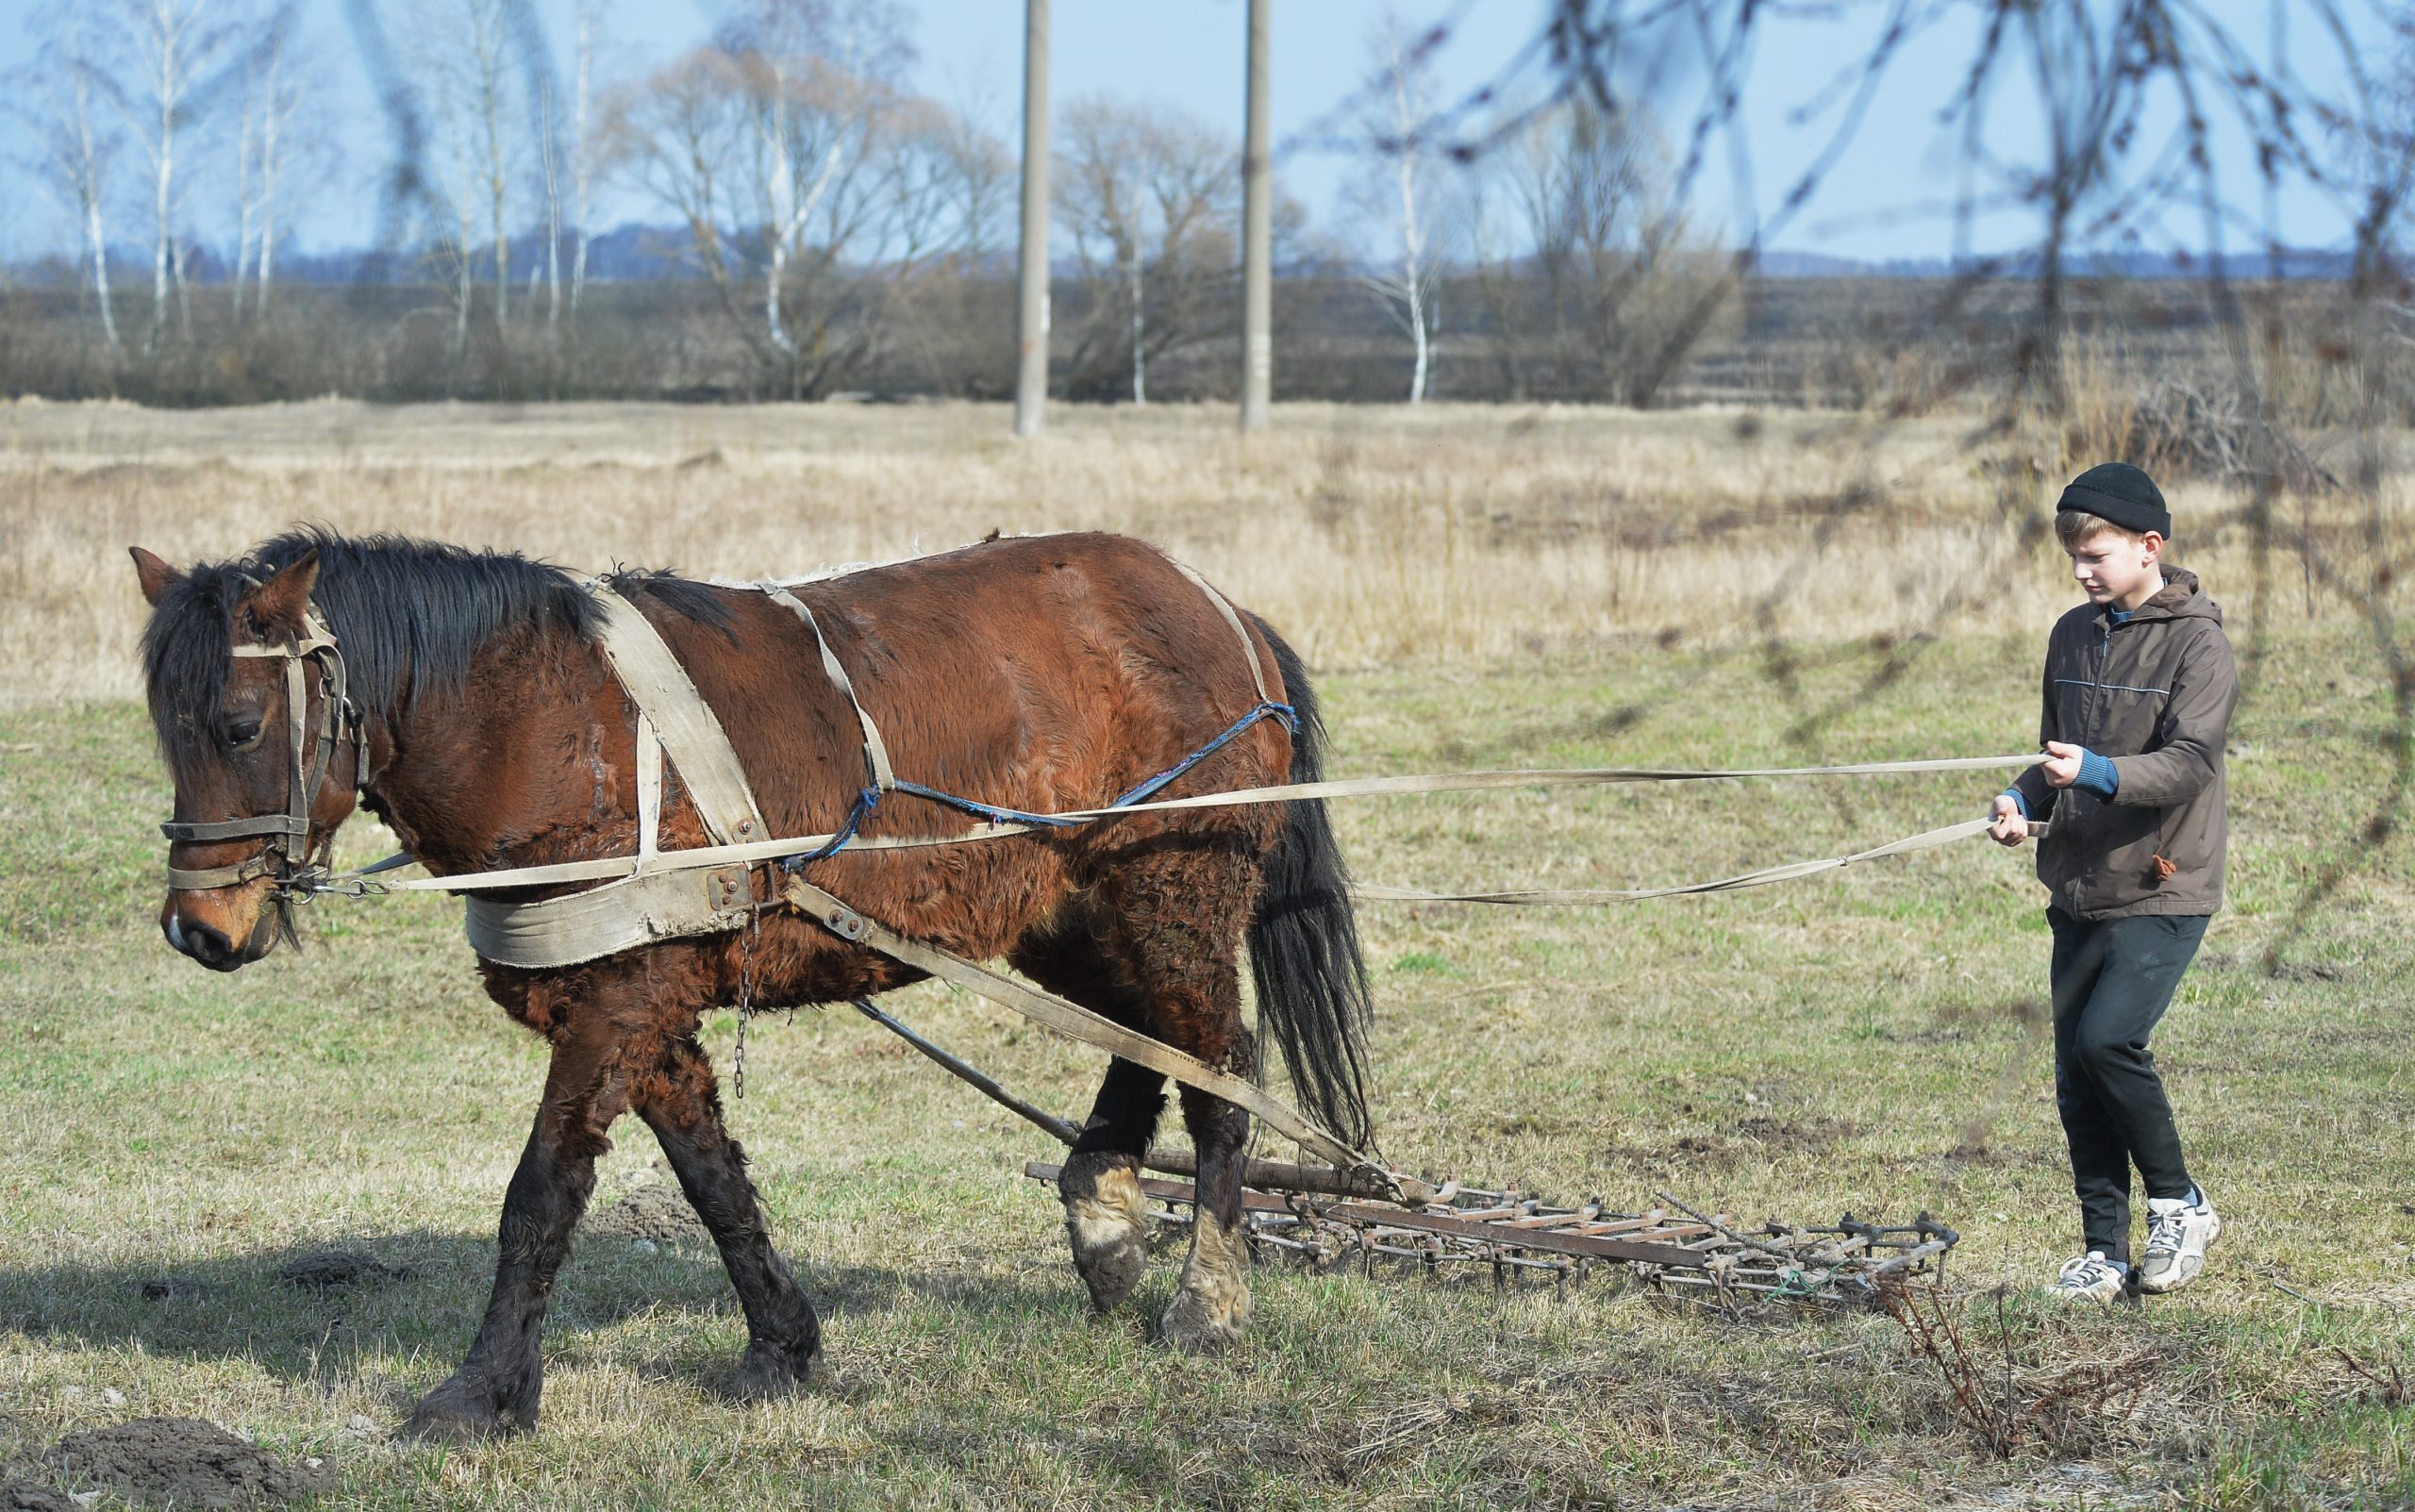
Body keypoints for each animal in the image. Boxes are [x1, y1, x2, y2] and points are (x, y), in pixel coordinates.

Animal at [132, 528, 1372, 1439]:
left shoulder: (617, 1003)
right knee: (1146, 1040)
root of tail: (1219, 608)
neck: (539, 715)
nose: (199, 928)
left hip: (1174, 886)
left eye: (240, 723)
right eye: (165, 730)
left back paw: (1208, 1299)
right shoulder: (642, 1007)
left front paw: (482, 1393)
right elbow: (713, 1181)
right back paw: (1104, 1212)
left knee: (1216, 1069)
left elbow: (539, 1199)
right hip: (1069, 910)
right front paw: (782, 1344)